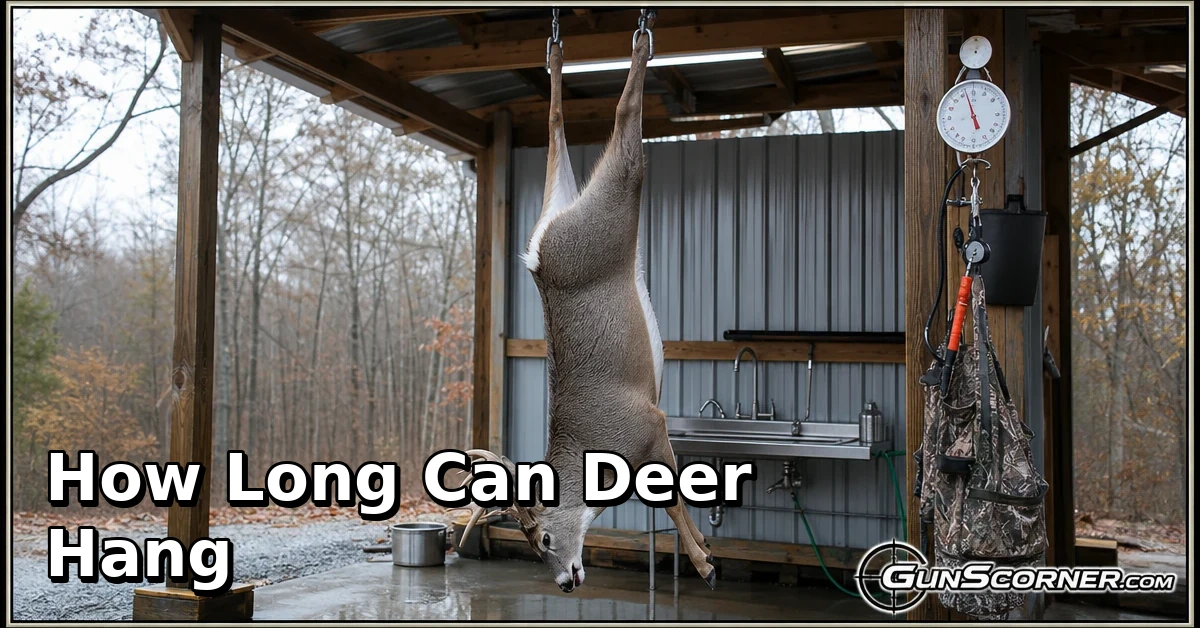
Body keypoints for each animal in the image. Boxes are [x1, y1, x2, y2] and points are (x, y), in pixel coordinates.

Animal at [453, 17, 716, 593]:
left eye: (545, 539)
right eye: (533, 549)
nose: (566, 582)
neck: (601, 461)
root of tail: (540, 248)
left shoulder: (649, 425)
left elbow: (674, 499)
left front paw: (706, 563)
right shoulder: (650, 433)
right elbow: (671, 502)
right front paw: (707, 553)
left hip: (612, 206)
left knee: (623, 125)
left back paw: (638, 42)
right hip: (580, 206)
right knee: (557, 126)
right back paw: (560, 52)